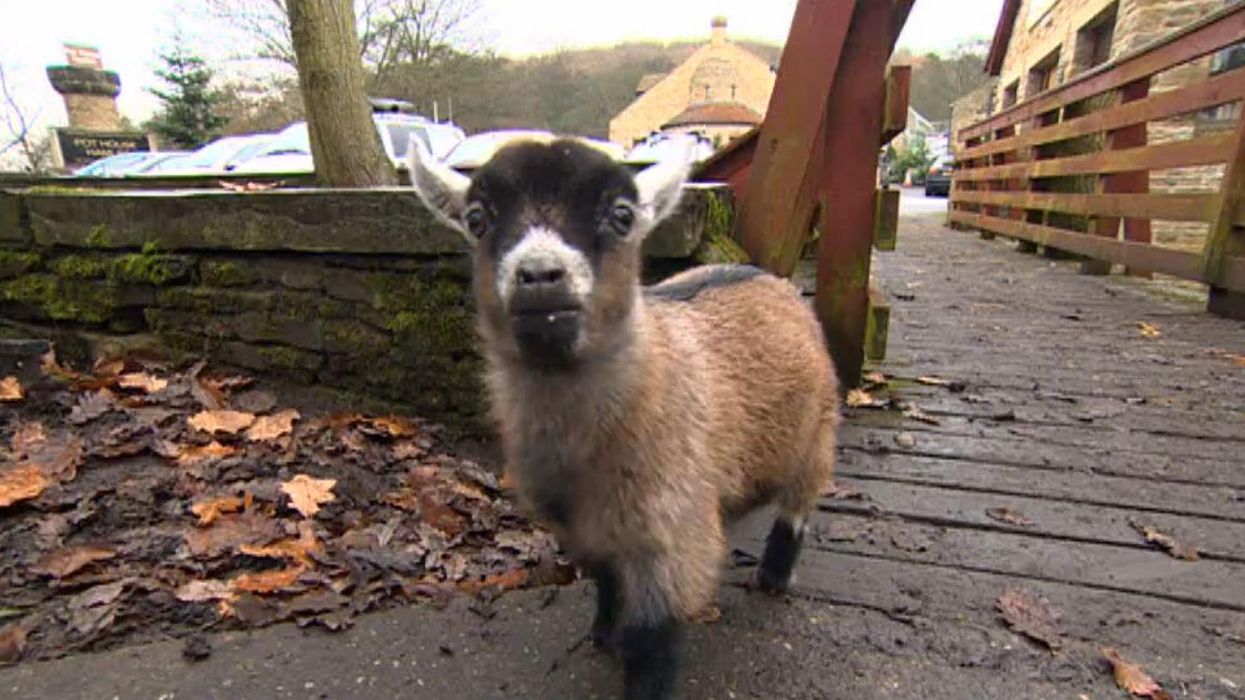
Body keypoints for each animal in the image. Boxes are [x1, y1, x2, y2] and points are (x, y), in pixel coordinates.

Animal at [409, 135, 839, 700]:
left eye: (621, 215)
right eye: (477, 218)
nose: (540, 276)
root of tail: (765, 275)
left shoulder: (670, 531)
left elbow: (655, 638)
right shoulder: (581, 526)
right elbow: (607, 580)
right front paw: (603, 634)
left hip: (819, 432)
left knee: (798, 505)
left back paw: (773, 575)